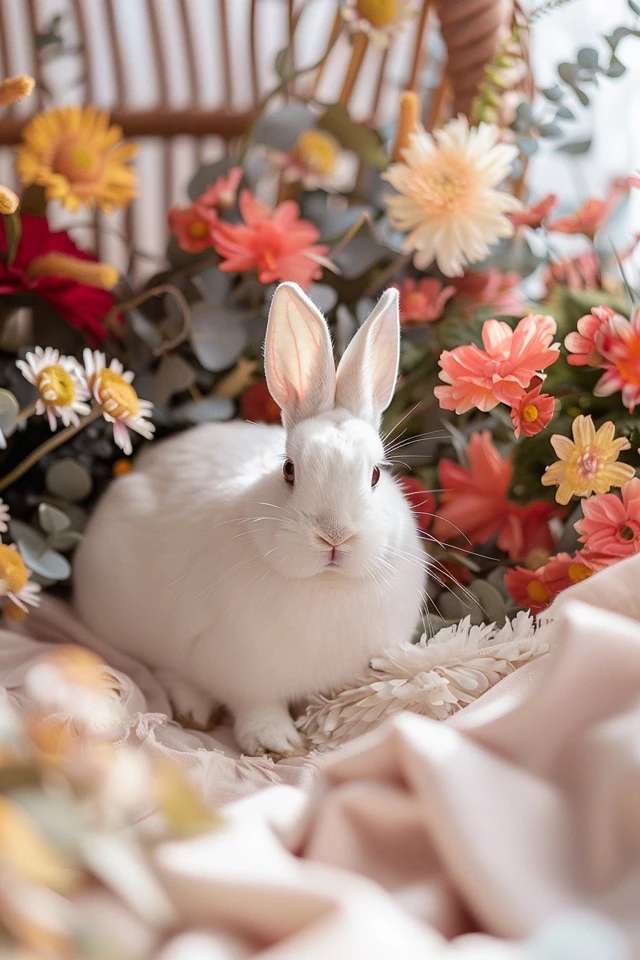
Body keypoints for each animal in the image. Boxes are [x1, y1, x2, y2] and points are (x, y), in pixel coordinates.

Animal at [73, 282, 426, 756]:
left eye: (375, 474)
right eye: (289, 470)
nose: (333, 537)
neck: (326, 584)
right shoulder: (242, 673)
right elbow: (257, 706)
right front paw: (276, 742)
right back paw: (194, 706)